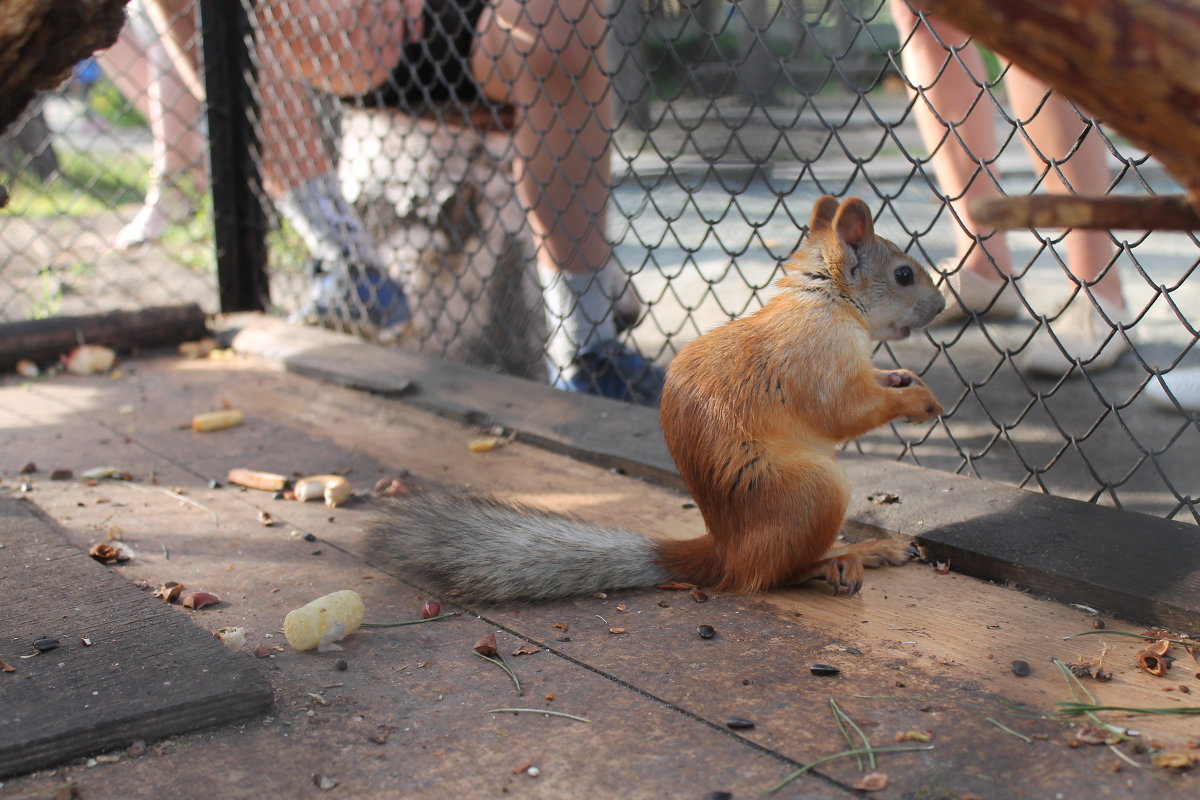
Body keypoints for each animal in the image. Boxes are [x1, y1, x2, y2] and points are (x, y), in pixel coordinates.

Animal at [364, 196, 945, 604]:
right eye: (903, 275)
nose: (940, 306)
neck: (825, 300)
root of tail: (724, 550)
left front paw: (901, 376)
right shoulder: (817, 358)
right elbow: (844, 413)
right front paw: (918, 402)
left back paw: (872, 548)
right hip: (814, 492)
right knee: (771, 575)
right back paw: (841, 559)